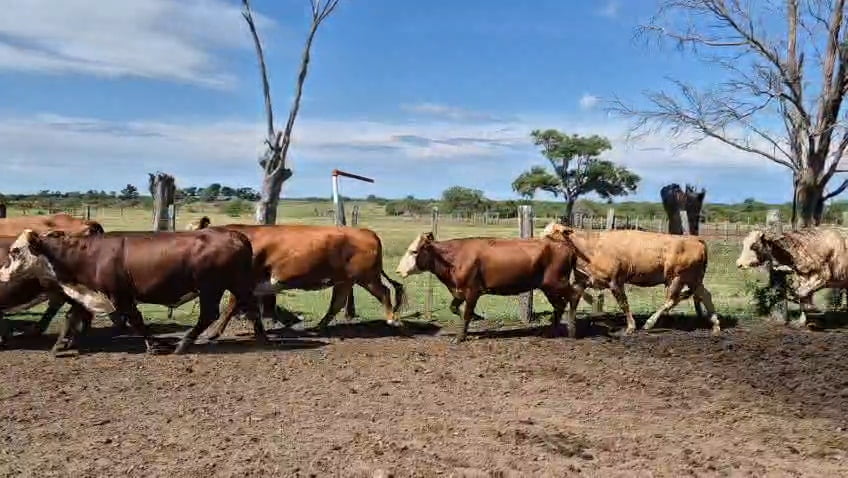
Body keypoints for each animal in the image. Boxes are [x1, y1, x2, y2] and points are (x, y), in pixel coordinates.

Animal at [0, 227, 266, 354]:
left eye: (15, 251)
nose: (2, 272)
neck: (88, 256)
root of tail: (235, 234)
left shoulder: (119, 295)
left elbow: (136, 320)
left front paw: (155, 346)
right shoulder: (89, 294)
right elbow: (72, 316)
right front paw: (60, 346)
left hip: (211, 287)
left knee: (210, 314)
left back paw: (184, 343)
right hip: (237, 283)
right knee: (251, 306)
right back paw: (261, 338)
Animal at [183, 221, 406, 340]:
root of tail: (366, 231)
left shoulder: (243, 284)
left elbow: (230, 307)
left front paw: (213, 333)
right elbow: (250, 310)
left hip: (367, 277)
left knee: (384, 292)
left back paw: (392, 319)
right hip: (345, 280)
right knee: (337, 303)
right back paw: (318, 327)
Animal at [395, 232, 580, 342]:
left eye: (414, 251)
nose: (398, 270)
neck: (454, 259)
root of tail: (565, 245)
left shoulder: (472, 291)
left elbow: (467, 313)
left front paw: (460, 336)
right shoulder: (459, 290)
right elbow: (454, 308)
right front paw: (475, 320)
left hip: (556, 282)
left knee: (574, 295)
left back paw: (572, 331)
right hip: (548, 287)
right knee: (560, 305)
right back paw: (550, 332)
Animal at [541, 222, 721, 336]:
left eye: (553, 233)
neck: (590, 249)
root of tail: (695, 239)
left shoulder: (615, 282)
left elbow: (624, 304)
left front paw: (631, 327)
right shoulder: (581, 281)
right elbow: (573, 301)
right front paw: (571, 328)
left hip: (678, 277)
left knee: (672, 300)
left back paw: (649, 323)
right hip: (693, 278)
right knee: (705, 295)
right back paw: (716, 326)